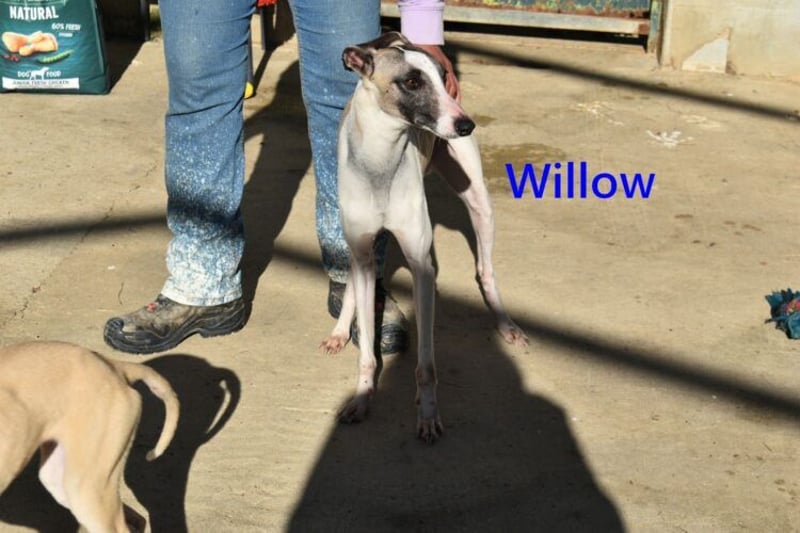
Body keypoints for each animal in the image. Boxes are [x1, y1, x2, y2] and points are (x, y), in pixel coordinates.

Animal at [320, 32, 528, 443]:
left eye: (441, 76)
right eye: (412, 82)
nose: (466, 125)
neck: (382, 163)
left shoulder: (422, 268)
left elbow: (427, 365)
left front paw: (428, 414)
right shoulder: (364, 252)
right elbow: (366, 348)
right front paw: (362, 397)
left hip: (479, 202)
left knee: (485, 270)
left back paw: (506, 325)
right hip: (356, 243)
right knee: (352, 274)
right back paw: (339, 330)